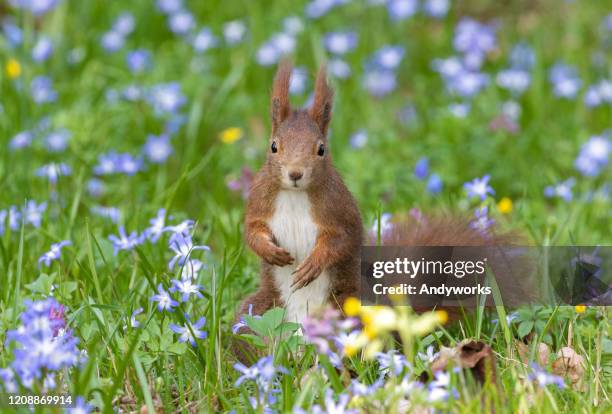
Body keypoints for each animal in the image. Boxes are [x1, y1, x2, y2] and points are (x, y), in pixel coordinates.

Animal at [235, 63, 516, 336]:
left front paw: (313, 264)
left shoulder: (339, 209)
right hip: (255, 314)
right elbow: (252, 230)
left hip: (353, 309)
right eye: (273, 146)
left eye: (321, 149)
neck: (295, 194)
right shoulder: (259, 202)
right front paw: (269, 251)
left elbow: (342, 239)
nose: (295, 173)